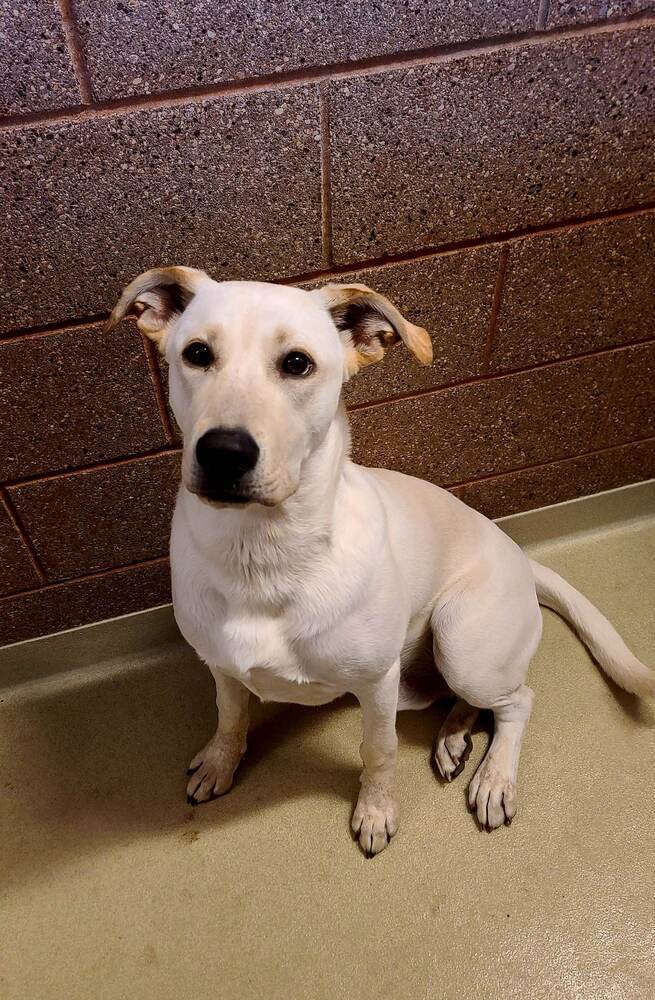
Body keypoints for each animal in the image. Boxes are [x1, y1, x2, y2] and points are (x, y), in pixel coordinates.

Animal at [109, 270, 655, 856]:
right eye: (197, 353)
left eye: (297, 363)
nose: (224, 452)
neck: (264, 552)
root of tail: (522, 558)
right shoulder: (221, 664)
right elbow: (230, 717)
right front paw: (219, 762)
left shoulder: (375, 685)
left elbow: (379, 751)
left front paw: (375, 811)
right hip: (426, 678)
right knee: (466, 700)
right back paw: (453, 736)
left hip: (460, 642)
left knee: (517, 700)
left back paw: (494, 778)